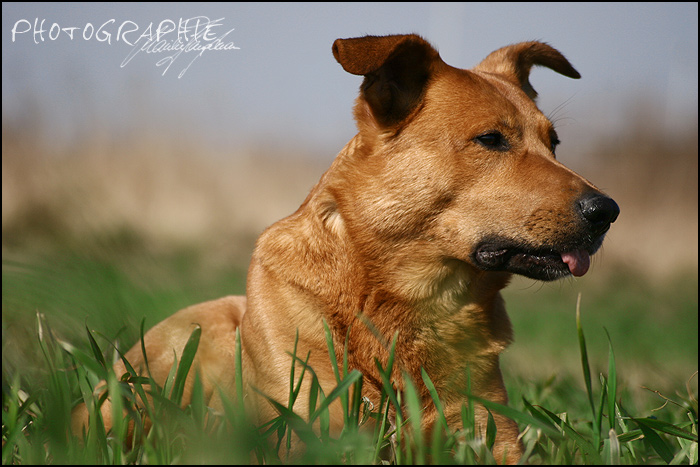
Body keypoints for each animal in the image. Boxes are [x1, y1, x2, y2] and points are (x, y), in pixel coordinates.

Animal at [71, 33, 616, 464]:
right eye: (491, 139)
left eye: (555, 143)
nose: (607, 210)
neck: (412, 302)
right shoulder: (314, 428)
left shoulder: (489, 432)